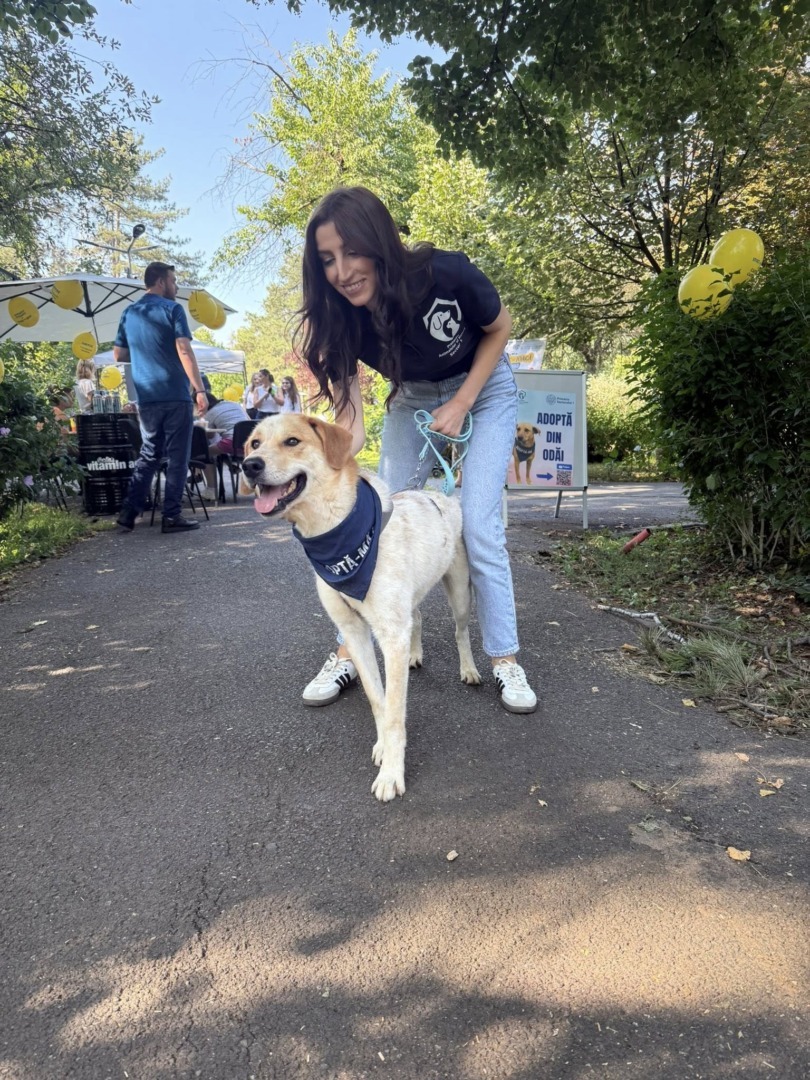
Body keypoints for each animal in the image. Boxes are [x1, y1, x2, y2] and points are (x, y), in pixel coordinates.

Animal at [241, 414, 481, 802]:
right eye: (254, 443)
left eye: (292, 441)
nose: (249, 465)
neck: (337, 535)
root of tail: (441, 493)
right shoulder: (355, 632)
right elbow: (378, 700)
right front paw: (384, 747)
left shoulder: (390, 634)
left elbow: (396, 713)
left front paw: (392, 773)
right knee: (417, 617)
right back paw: (416, 654)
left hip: (459, 591)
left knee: (461, 631)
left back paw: (469, 669)